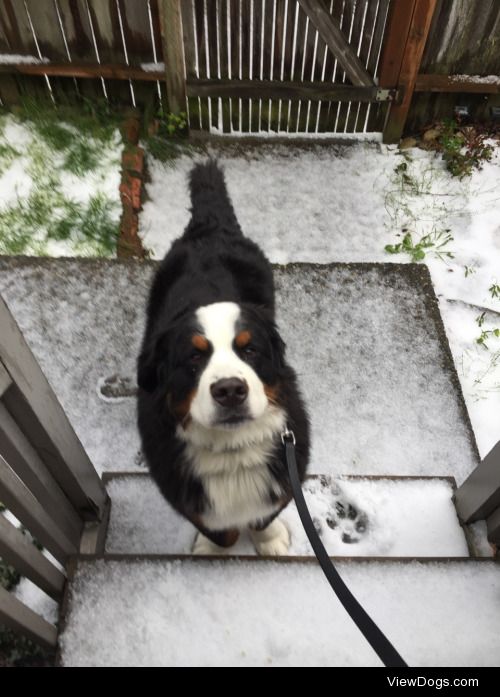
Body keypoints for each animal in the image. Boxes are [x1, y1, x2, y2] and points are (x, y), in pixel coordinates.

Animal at [137, 159, 308, 556]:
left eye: (249, 349)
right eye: (193, 358)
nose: (230, 390)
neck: (232, 454)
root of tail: (210, 227)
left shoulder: (283, 475)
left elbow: (263, 517)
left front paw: (271, 542)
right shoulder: (184, 494)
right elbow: (219, 529)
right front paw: (213, 550)